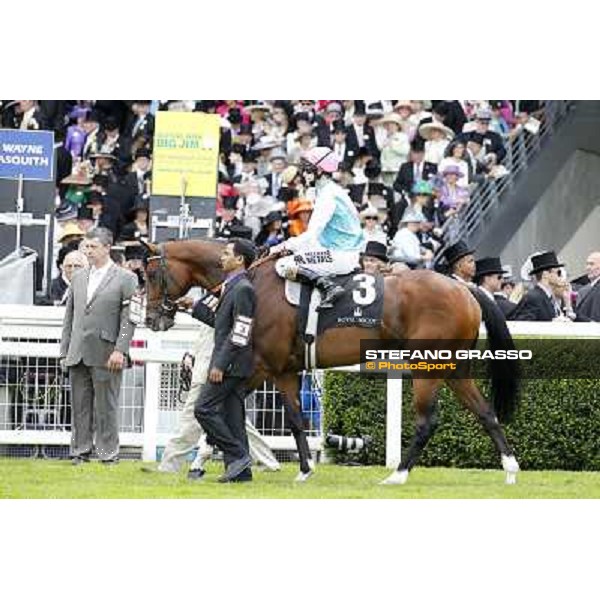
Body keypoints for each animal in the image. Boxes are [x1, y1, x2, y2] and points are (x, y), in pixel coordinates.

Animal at [142, 237, 520, 486]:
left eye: (149, 275)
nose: (152, 319)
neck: (254, 281)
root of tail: (465, 289)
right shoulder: (279, 370)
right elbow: (286, 419)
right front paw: (301, 468)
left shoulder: (267, 367)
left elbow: (229, 413)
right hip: (453, 367)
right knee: (485, 411)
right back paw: (511, 468)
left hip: (426, 366)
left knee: (428, 421)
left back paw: (397, 476)